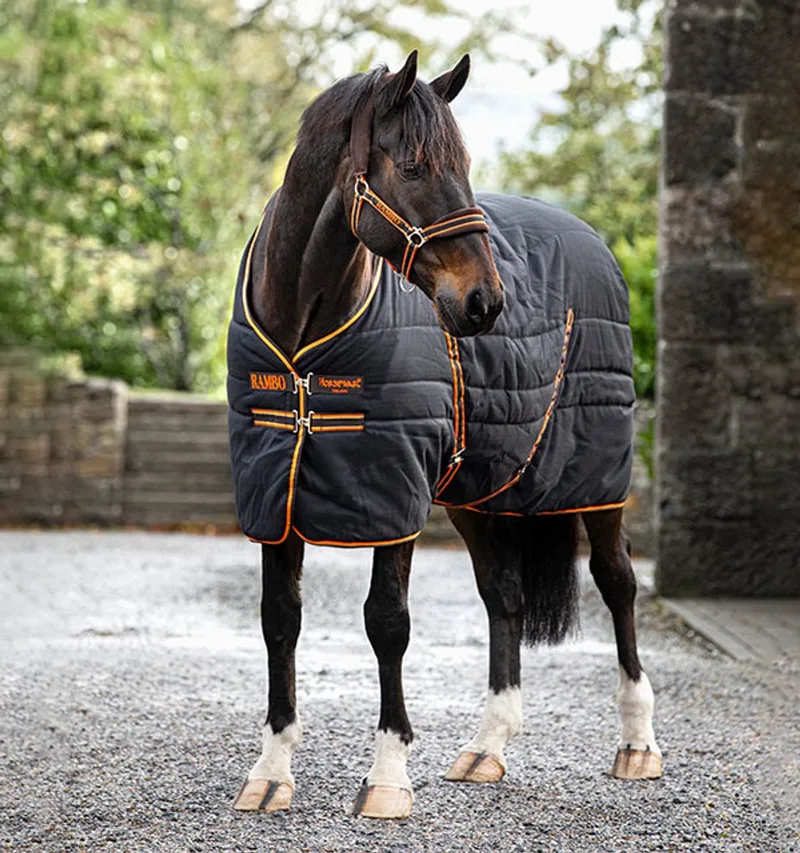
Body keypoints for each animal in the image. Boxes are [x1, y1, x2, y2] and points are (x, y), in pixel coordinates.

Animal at [226, 50, 662, 820]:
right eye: (414, 166)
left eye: (463, 164)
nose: (486, 302)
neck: (304, 343)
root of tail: (589, 238)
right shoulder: (276, 491)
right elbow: (280, 618)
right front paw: (272, 772)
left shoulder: (392, 491)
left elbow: (387, 623)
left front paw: (388, 778)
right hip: (480, 488)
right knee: (504, 596)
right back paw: (488, 747)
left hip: (597, 478)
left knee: (618, 584)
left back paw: (638, 743)